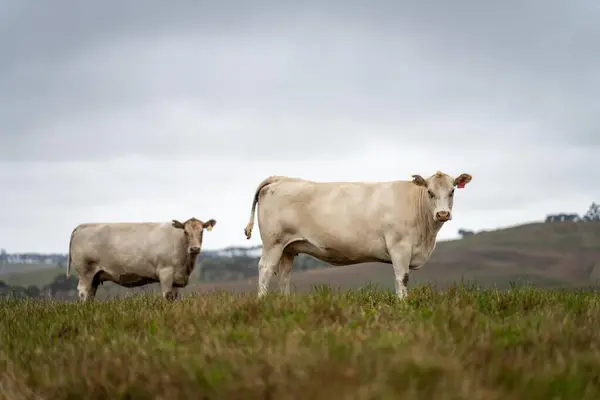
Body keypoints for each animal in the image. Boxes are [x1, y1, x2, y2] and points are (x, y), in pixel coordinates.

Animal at [67, 219, 217, 300]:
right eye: (185, 232)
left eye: (201, 232)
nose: (195, 248)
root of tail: (81, 226)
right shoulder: (166, 273)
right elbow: (167, 296)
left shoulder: (176, 279)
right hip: (85, 271)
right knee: (83, 291)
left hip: (95, 276)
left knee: (90, 294)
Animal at [244, 170, 474, 298]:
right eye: (430, 192)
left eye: (452, 191)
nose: (442, 213)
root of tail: (281, 178)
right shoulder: (400, 247)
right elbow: (403, 277)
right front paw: (403, 304)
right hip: (273, 242)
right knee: (265, 269)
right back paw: (262, 301)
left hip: (288, 247)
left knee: (284, 274)